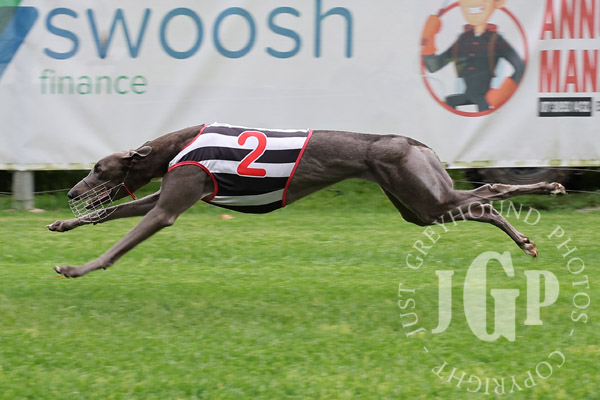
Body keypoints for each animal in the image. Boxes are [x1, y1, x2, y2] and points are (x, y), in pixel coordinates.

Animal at [48, 123, 565, 278]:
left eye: (98, 168)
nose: (71, 192)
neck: (177, 144)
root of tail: (415, 142)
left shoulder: (168, 207)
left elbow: (120, 244)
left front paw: (75, 268)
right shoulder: (160, 195)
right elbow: (112, 210)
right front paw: (63, 226)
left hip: (424, 197)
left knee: (491, 191)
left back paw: (546, 191)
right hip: (417, 207)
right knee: (484, 203)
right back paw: (525, 238)